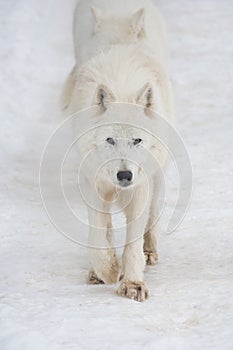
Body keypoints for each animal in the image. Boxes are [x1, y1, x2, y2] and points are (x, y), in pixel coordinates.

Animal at [62, 0, 175, 300]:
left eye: (137, 141)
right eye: (110, 140)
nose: (124, 176)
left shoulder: (141, 185)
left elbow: (133, 242)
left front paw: (133, 282)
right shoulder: (93, 182)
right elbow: (98, 234)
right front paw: (108, 270)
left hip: (157, 173)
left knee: (153, 216)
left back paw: (150, 251)